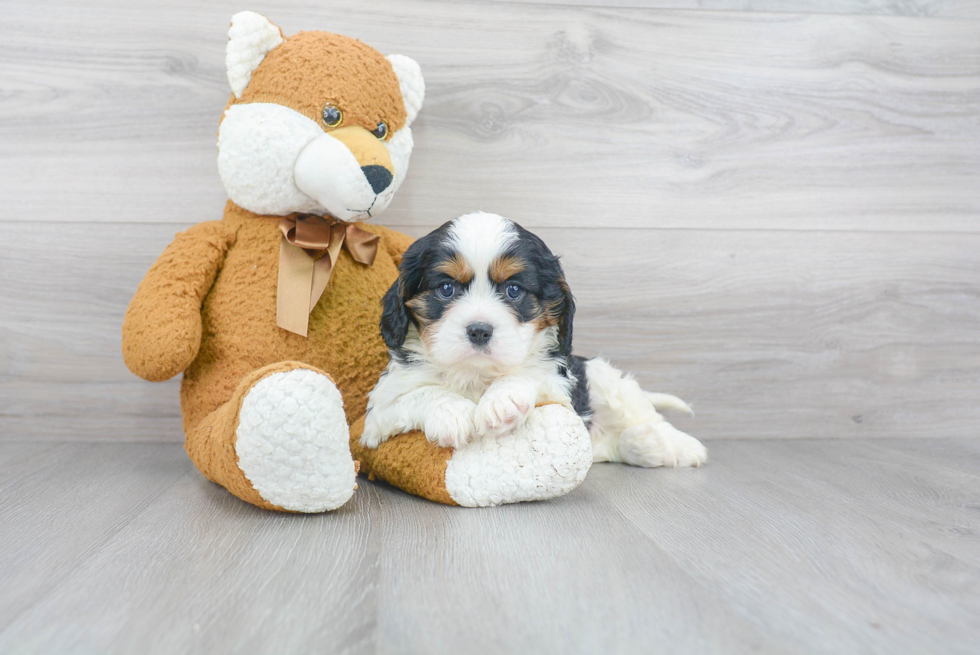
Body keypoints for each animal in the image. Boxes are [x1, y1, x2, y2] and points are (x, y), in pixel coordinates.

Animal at [360, 210, 704, 466]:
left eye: (514, 290)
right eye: (446, 289)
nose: (479, 330)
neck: (476, 375)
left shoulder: (560, 387)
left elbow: (531, 374)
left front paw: (503, 399)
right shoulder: (377, 417)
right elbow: (422, 393)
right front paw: (452, 412)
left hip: (603, 378)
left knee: (643, 413)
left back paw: (677, 445)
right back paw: (644, 444)